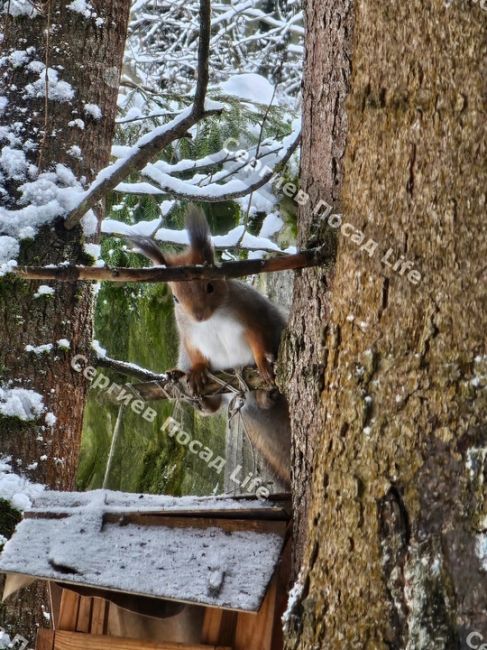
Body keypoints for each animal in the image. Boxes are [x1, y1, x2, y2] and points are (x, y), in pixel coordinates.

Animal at [127, 205, 292, 484]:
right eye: (175, 298)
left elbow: (259, 340)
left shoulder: (253, 316)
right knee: (213, 406)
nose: (198, 315)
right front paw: (197, 371)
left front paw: (263, 362)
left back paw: (265, 394)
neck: (212, 320)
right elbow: (196, 355)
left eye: (210, 286)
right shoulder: (189, 336)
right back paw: (195, 393)